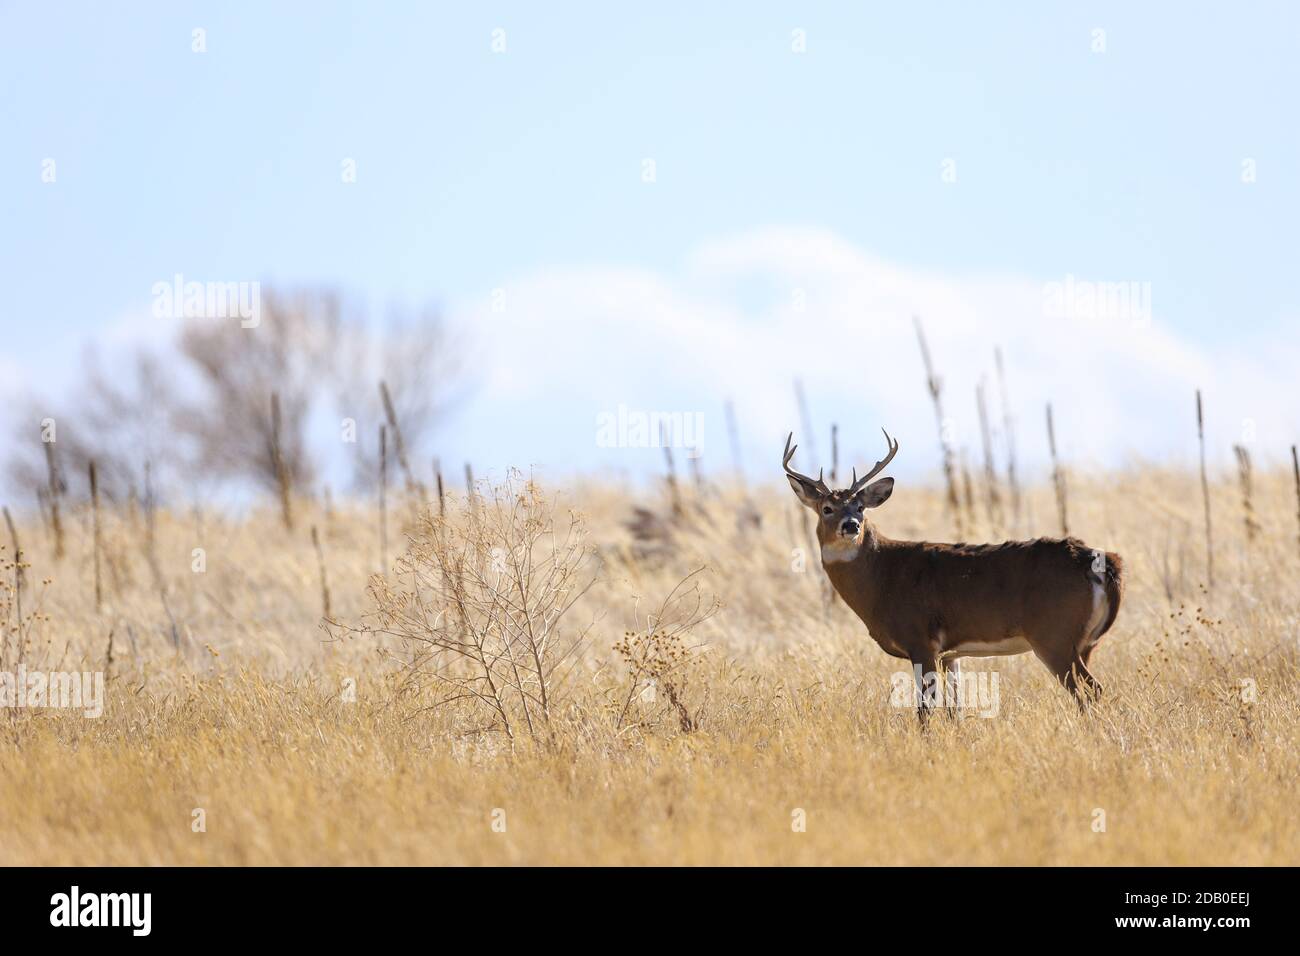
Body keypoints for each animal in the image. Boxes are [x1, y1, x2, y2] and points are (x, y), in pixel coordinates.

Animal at [785, 431, 1123, 717]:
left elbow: (925, 710)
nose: (851, 525)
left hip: (1055, 635)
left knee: (1091, 689)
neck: (881, 577)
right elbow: (955, 709)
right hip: (1085, 643)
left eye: (860, 507)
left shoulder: (920, 639)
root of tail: (1101, 561)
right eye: (827, 508)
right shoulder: (950, 653)